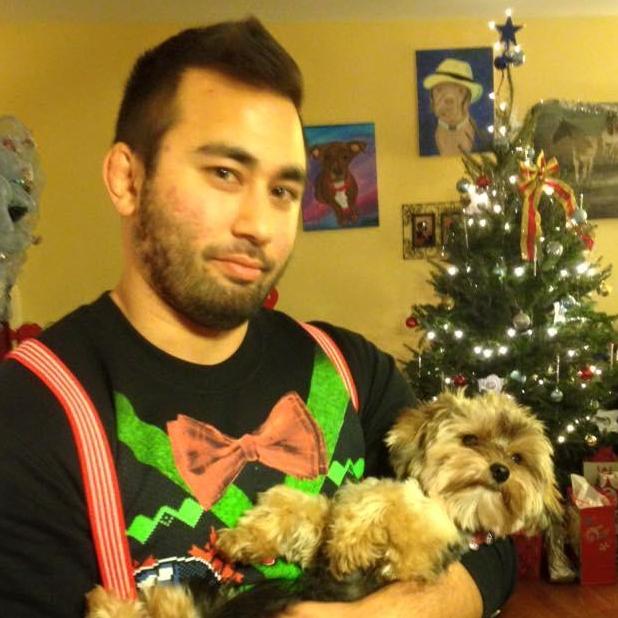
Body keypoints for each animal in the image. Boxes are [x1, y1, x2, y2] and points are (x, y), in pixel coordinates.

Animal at [87, 390, 563, 617]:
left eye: (518, 459)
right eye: (471, 440)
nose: (500, 471)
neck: (455, 509)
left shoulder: (416, 558)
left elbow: (396, 496)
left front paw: (352, 540)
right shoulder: (318, 536)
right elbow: (302, 505)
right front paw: (245, 538)